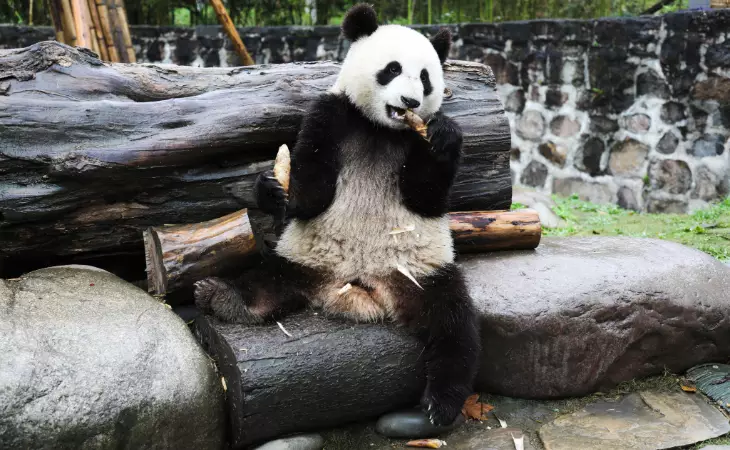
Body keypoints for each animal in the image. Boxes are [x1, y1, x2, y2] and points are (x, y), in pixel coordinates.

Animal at [194, 3, 480, 427]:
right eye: (393, 69)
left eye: (426, 78)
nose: (411, 102)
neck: (382, 129)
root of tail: (356, 286)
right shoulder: (331, 116)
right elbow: (313, 193)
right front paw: (273, 190)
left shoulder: (413, 144)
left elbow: (426, 198)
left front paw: (445, 135)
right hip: (300, 257)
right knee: (266, 279)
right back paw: (224, 297)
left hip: (422, 273)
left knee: (454, 326)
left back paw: (443, 402)